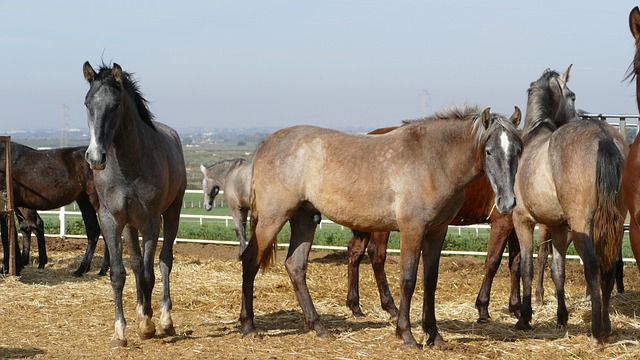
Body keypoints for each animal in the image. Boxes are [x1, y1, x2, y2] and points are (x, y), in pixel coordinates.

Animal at [344, 126, 520, 324]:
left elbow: (516, 264)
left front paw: (517, 308)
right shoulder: (502, 221)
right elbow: (493, 262)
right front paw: (483, 309)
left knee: (355, 252)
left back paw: (355, 306)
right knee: (377, 255)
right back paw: (390, 307)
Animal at [512, 66, 628, 348]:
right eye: (573, 96)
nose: (578, 113)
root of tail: (602, 136)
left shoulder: (523, 221)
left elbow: (528, 268)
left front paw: (525, 317)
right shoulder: (558, 226)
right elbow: (558, 271)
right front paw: (561, 317)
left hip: (582, 226)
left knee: (593, 267)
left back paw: (596, 333)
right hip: (613, 226)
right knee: (609, 268)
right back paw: (606, 327)